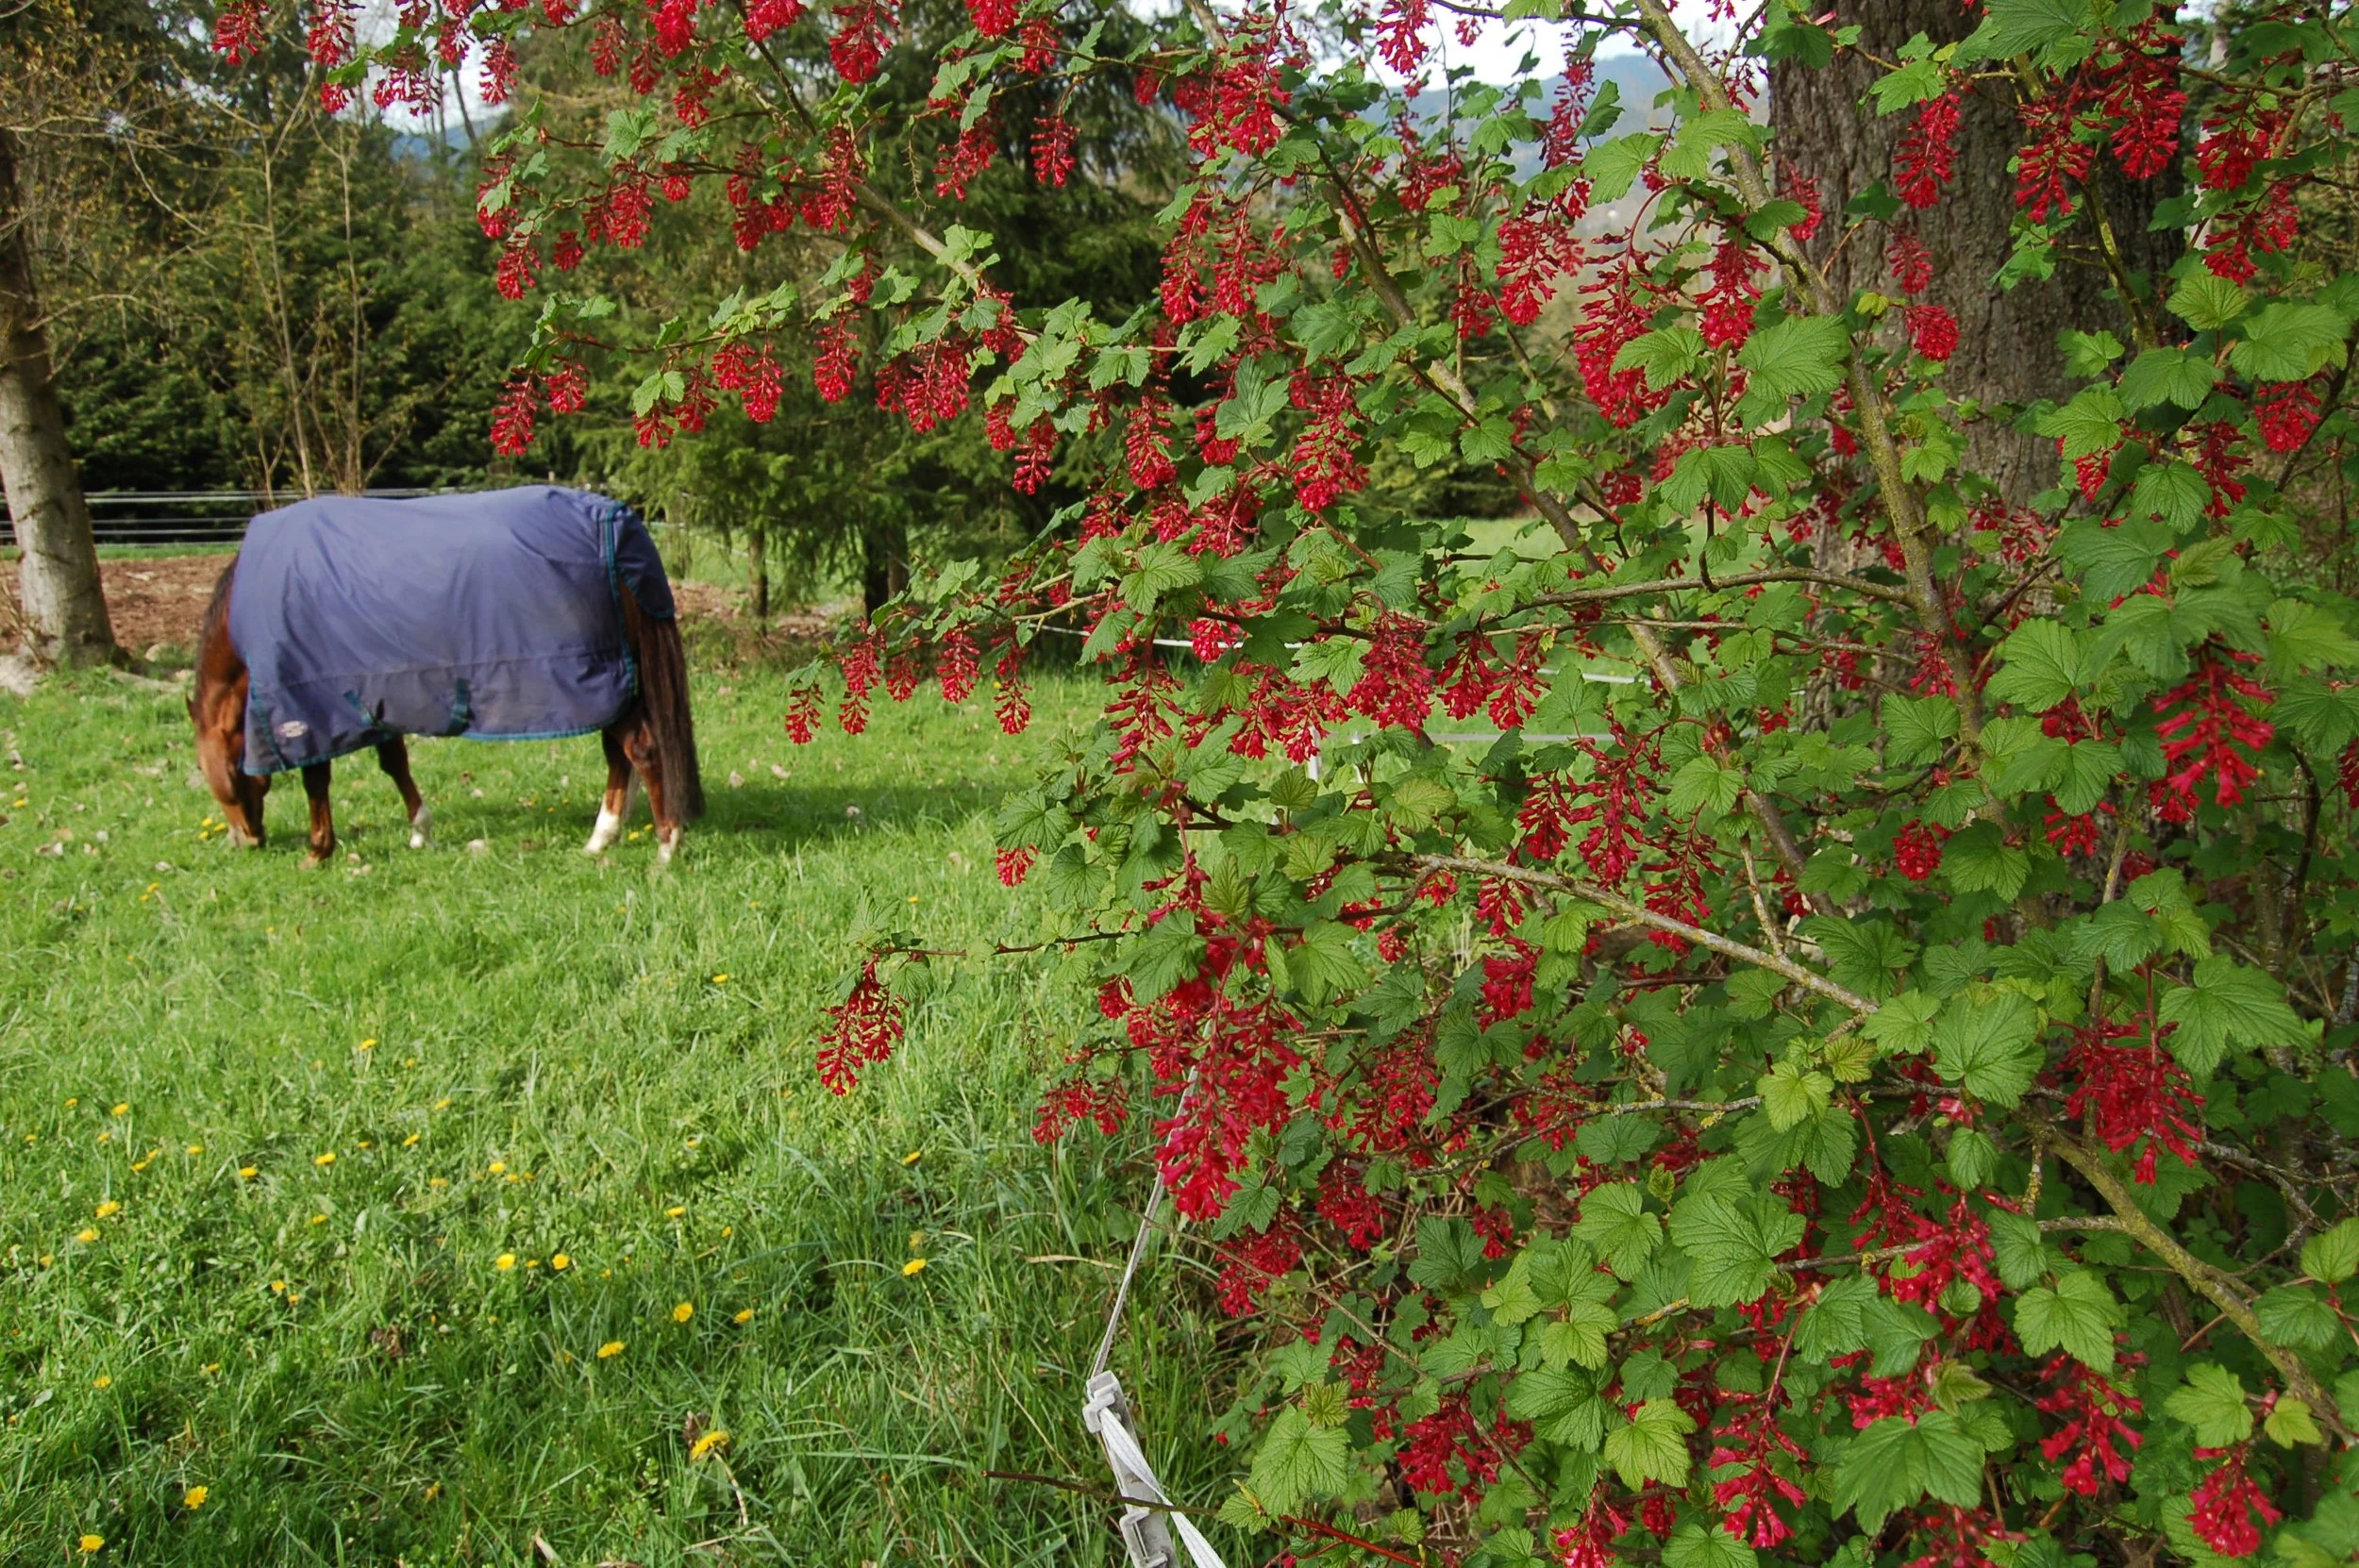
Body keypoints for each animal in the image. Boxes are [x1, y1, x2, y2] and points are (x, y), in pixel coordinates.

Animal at [187, 485, 703, 866]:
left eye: (230, 773)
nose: (246, 841)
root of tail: (618, 526)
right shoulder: (374, 698)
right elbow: (395, 763)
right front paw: (420, 832)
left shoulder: (309, 705)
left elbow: (317, 779)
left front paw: (318, 851)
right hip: (617, 686)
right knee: (620, 755)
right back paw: (601, 838)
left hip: (602, 684)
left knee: (641, 750)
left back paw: (666, 845)